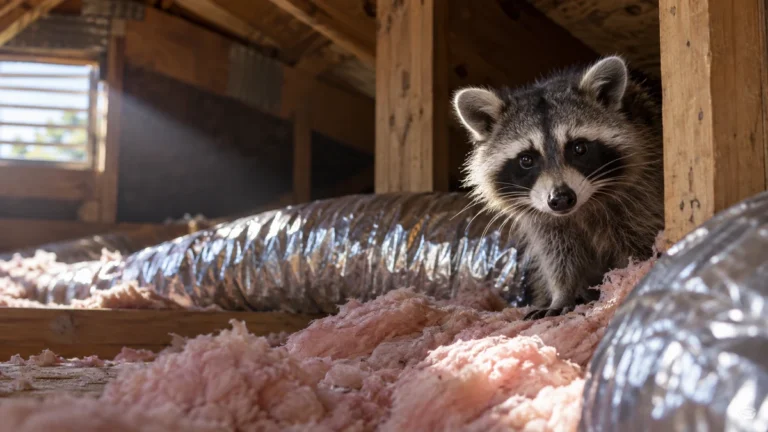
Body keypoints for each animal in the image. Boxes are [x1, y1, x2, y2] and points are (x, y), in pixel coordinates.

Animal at [452, 56, 663, 320]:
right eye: (526, 160)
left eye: (579, 148)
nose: (561, 198)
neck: (581, 209)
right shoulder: (545, 220)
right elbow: (558, 256)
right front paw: (562, 293)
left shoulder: (643, 193)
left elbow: (641, 242)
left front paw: (634, 279)